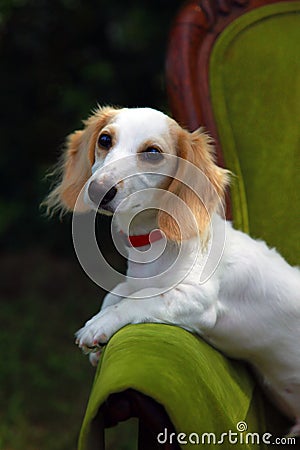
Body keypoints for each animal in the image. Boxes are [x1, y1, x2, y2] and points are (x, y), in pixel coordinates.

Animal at [46, 105, 300, 436]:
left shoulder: (200, 300)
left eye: (153, 152)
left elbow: (143, 299)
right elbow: (117, 293)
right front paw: (99, 343)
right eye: (104, 140)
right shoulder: (134, 282)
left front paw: (98, 326)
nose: (99, 189)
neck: (155, 242)